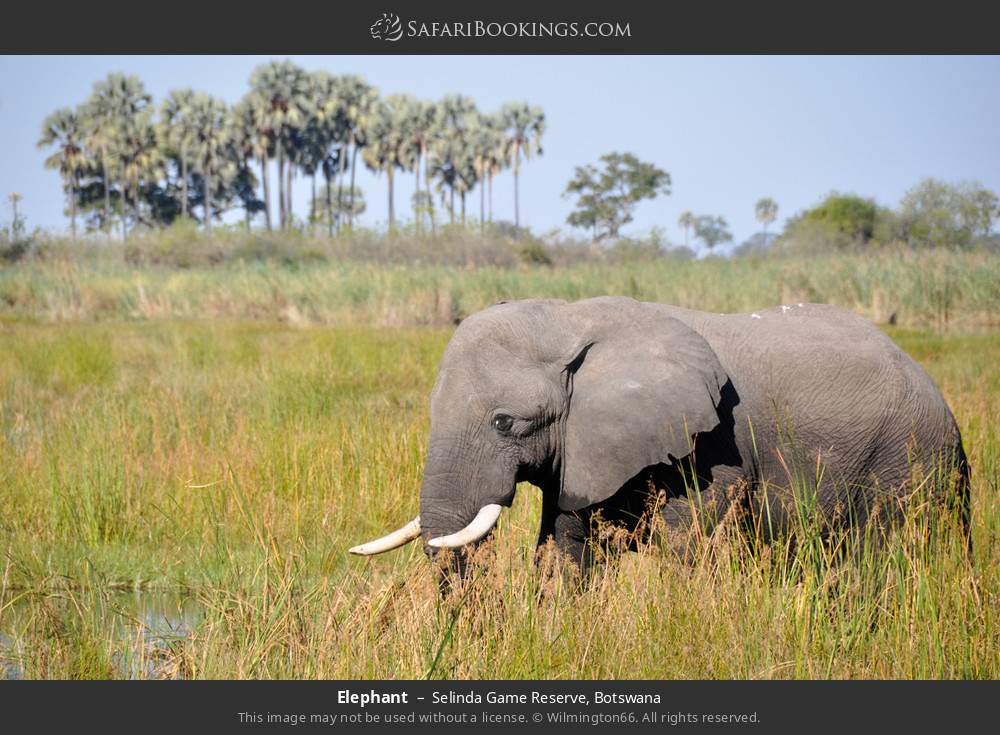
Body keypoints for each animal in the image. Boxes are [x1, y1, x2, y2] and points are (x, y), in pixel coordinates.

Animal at [350, 297, 969, 579]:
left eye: (505, 423)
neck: (568, 319)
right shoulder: (582, 446)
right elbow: (563, 547)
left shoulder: (711, 446)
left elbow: (688, 545)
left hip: (909, 461)